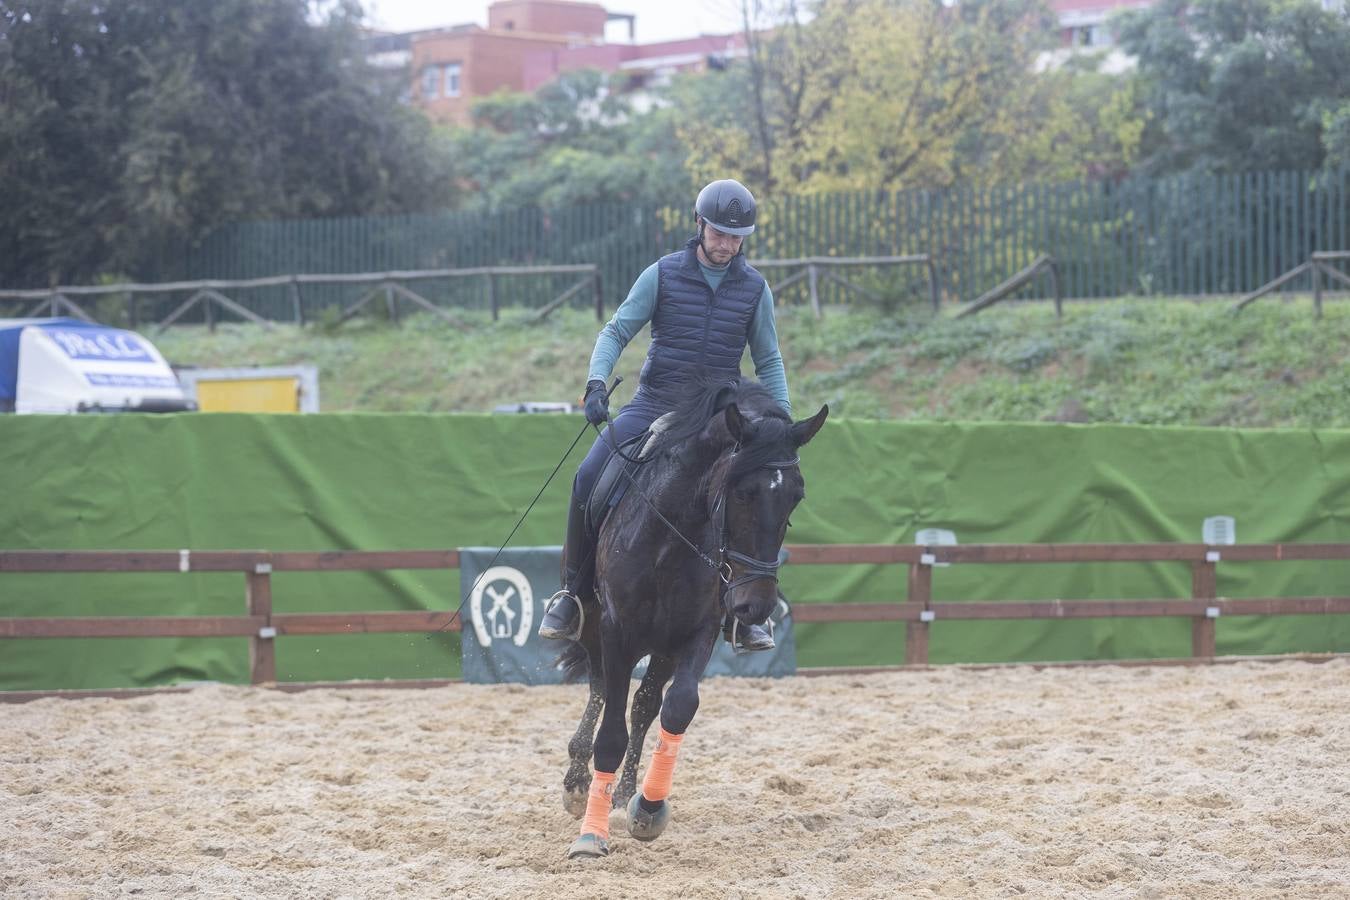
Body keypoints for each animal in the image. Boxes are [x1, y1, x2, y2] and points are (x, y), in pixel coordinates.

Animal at [556, 376, 828, 859]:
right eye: (743, 492)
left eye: (796, 497)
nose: (756, 605)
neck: (670, 538)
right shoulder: (616, 631)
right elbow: (610, 732)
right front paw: (592, 834)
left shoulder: (695, 634)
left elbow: (678, 707)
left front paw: (647, 808)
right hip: (593, 628)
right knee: (600, 690)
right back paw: (577, 781)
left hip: (661, 648)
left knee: (644, 706)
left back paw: (624, 794)